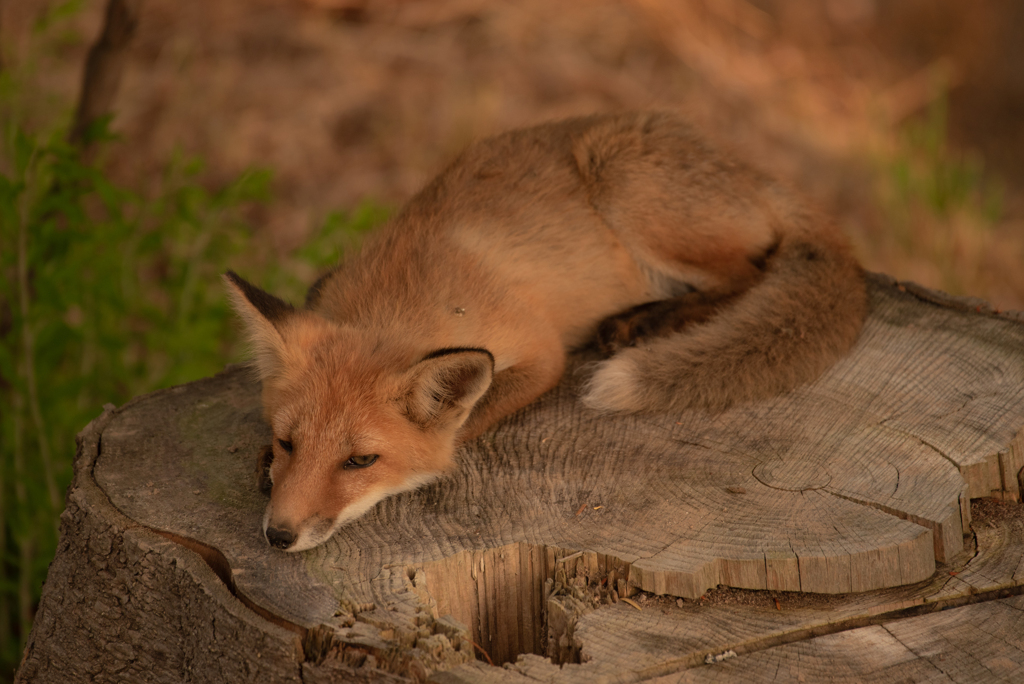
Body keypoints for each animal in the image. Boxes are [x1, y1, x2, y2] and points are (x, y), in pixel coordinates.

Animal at [224, 111, 864, 548]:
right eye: (289, 441)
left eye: (360, 462)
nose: (279, 536)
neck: (404, 291)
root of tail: (751, 167)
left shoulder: (539, 352)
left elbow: (464, 426)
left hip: (626, 185)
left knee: (753, 273)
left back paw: (643, 320)